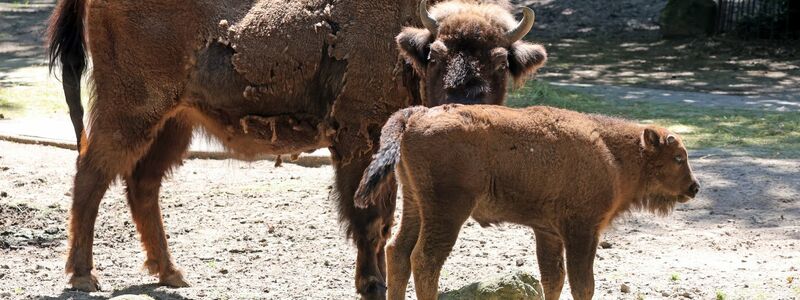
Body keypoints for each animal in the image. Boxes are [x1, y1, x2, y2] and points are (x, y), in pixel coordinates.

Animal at [48, 0, 544, 296]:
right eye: (436, 54)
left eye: (501, 60)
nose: (465, 101)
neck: (406, 46)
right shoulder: (359, 141)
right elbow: (369, 218)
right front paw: (371, 284)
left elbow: (382, 222)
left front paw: (376, 280)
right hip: (130, 109)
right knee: (91, 174)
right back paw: (83, 276)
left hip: (175, 121)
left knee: (141, 183)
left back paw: (171, 273)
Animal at [356, 104, 700, 298]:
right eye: (678, 157)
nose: (694, 188)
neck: (612, 151)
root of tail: (415, 115)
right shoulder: (582, 231)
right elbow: (582, 284)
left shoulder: (547, 232)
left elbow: (553, 279)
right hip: (447, 211)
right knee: (425, 260)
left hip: (416, 204)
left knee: (398, 252)